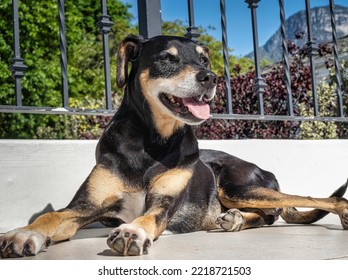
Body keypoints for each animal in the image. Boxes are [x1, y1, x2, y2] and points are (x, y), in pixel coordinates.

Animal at [0, 35, 348, 258]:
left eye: (204, 58)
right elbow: (50, 217)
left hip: (238, 186)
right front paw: (23, 232)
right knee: (266, 216)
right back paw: (234, 219)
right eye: (167, 59)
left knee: (304, 201)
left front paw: (132, 232)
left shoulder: (164, 202)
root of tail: (263, 170)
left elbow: (148, 218)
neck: (153, 141)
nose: (211, 77)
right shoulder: (85, 206)